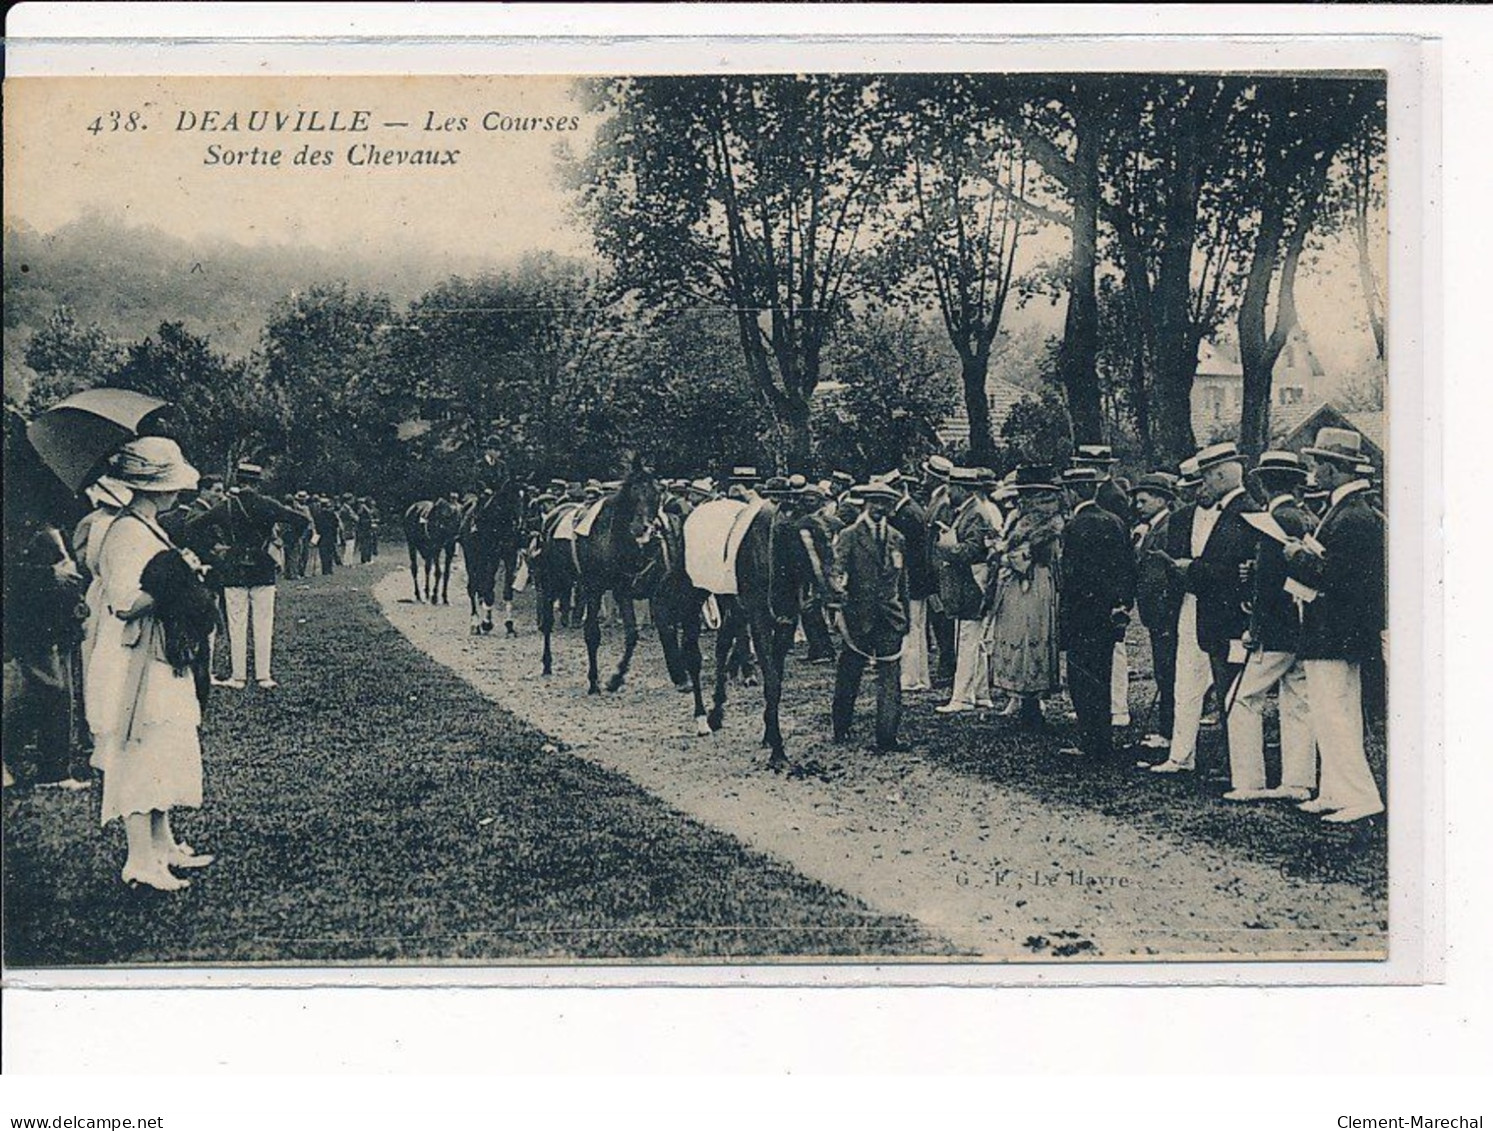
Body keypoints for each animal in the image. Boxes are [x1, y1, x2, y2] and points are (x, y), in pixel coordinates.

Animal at [459, 477, 531, 638]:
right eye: (512, 498)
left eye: (527, 499)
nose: (521, 525)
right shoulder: (492, 557)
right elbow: (489, 589)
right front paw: (486, 623)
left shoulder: (509, 557)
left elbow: (507, 591)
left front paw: (509, 625)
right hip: (472, 557)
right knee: (473, 587)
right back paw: (475, 623)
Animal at [531, 465, 659, 695]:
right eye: (633, 492)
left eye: (656, 494)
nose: (643, 529)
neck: (609, 538)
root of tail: (551, 516)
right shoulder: (593, 588)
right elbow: (592, 634)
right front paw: (593, 681)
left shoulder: (622, 590)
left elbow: (632, 634)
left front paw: (616, 678)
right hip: (551, 579)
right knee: (547, 621)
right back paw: (547, 663)